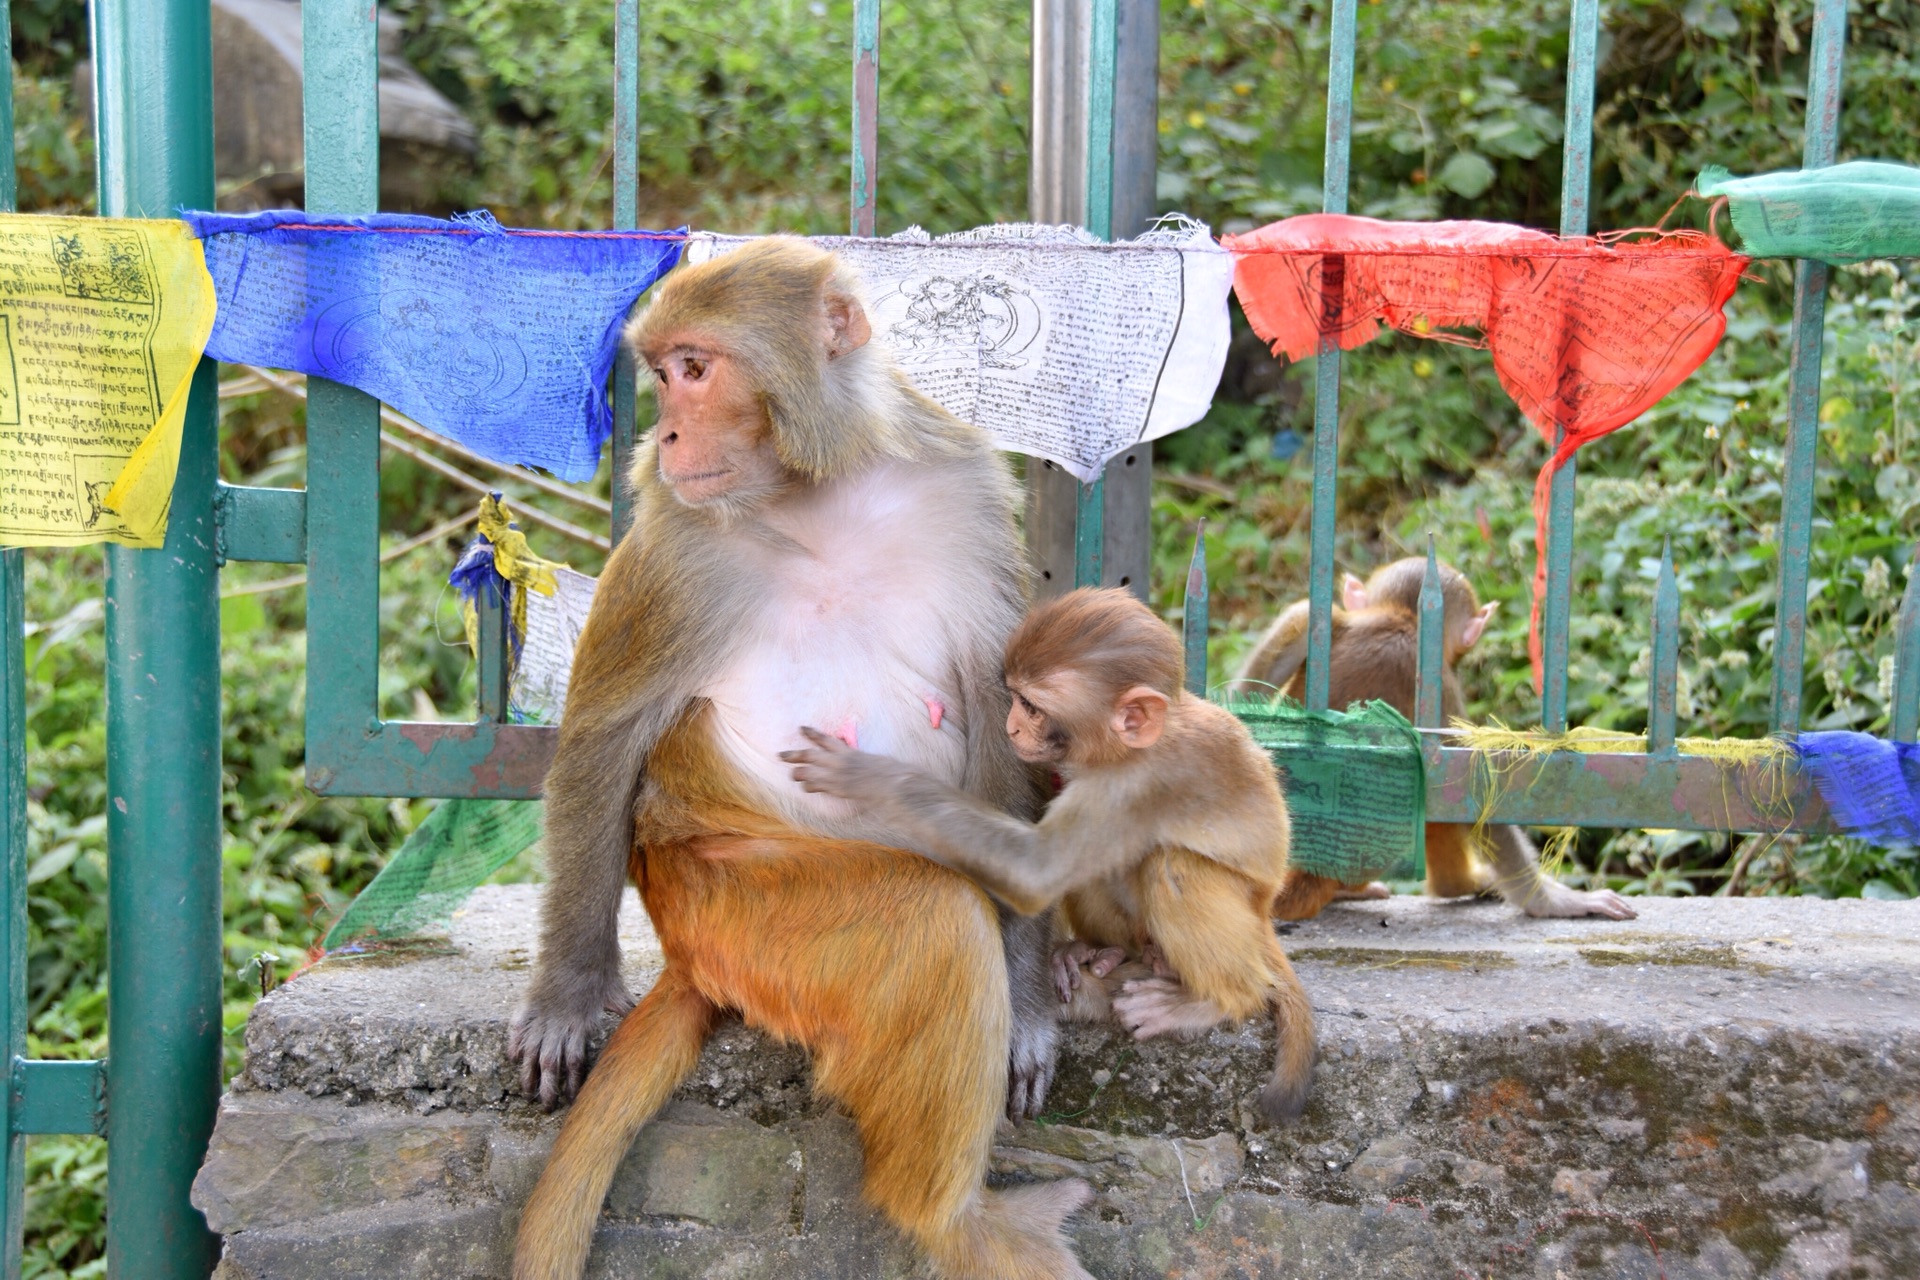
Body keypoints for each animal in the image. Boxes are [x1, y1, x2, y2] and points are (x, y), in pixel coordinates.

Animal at [506, 239, 1098, 1280]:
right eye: (661, 374)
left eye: (694, 368)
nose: (663, 436)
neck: (820, 490)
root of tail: (686, 951)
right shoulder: (673, 545)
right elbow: (604, 740)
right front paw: (568, 998)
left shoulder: (970, 496)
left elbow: (1006, 730)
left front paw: (1028, 1007)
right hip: (736, 916)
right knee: (930, 921)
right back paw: (954, 1221)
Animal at [783, 591, 1320, 1120]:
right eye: (1016, 700)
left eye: (1032, 706)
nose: (1011, 727)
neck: (1130, 748)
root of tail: (1265, 913)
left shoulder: (1132, 785)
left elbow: (1035, 872)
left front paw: (867, 777)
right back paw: (1098, 953)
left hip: (1243, 916)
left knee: (1171, 866)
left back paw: (1219, 1001)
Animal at [1228, 556, 1635, 924]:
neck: (1405, 619)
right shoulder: (1445, 687)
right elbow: (1472, 785)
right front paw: (1550, 902)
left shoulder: (1315, 621)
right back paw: (1456, 886)